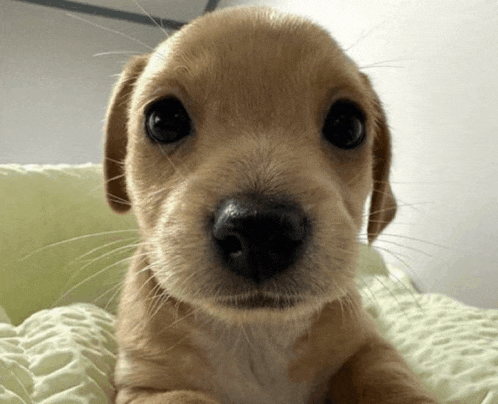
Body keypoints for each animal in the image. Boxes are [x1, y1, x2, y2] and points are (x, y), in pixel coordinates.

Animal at [104, 6, 436, 404]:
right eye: (164, 120)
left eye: (348, 126)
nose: (258, 230)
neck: (256, 334)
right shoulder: (146, 387)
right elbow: (184, 397)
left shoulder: (368, 347)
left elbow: (389, 377)